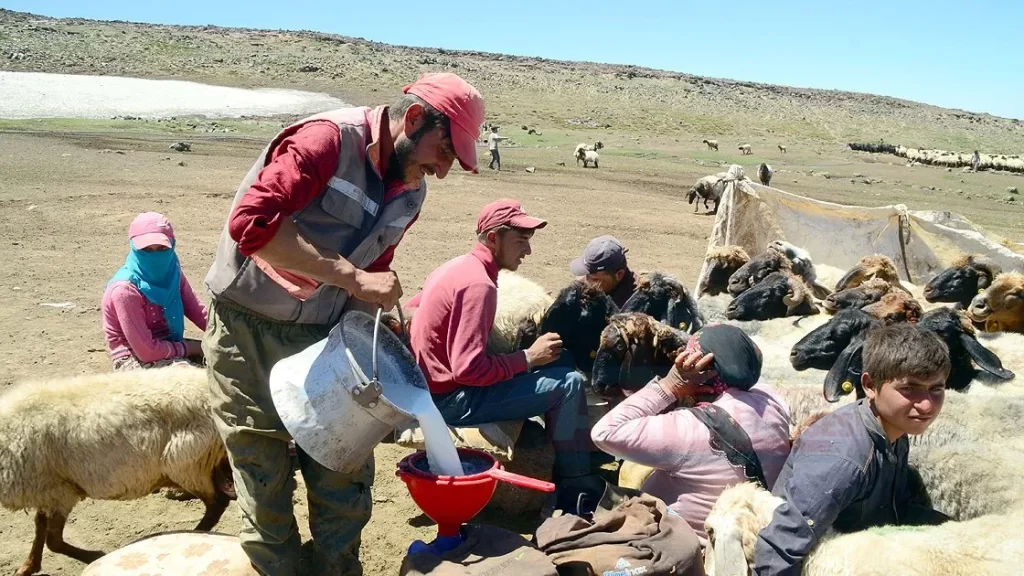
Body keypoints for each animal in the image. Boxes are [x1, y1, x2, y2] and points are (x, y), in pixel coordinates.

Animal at [0, 364, 234, 569]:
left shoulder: (59, 492)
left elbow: (53, 541)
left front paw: (94, 556)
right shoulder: (45, 491)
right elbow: (40, 527)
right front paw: (28, 566)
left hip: (185, 462)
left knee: (216, 503)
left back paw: (196, 531)